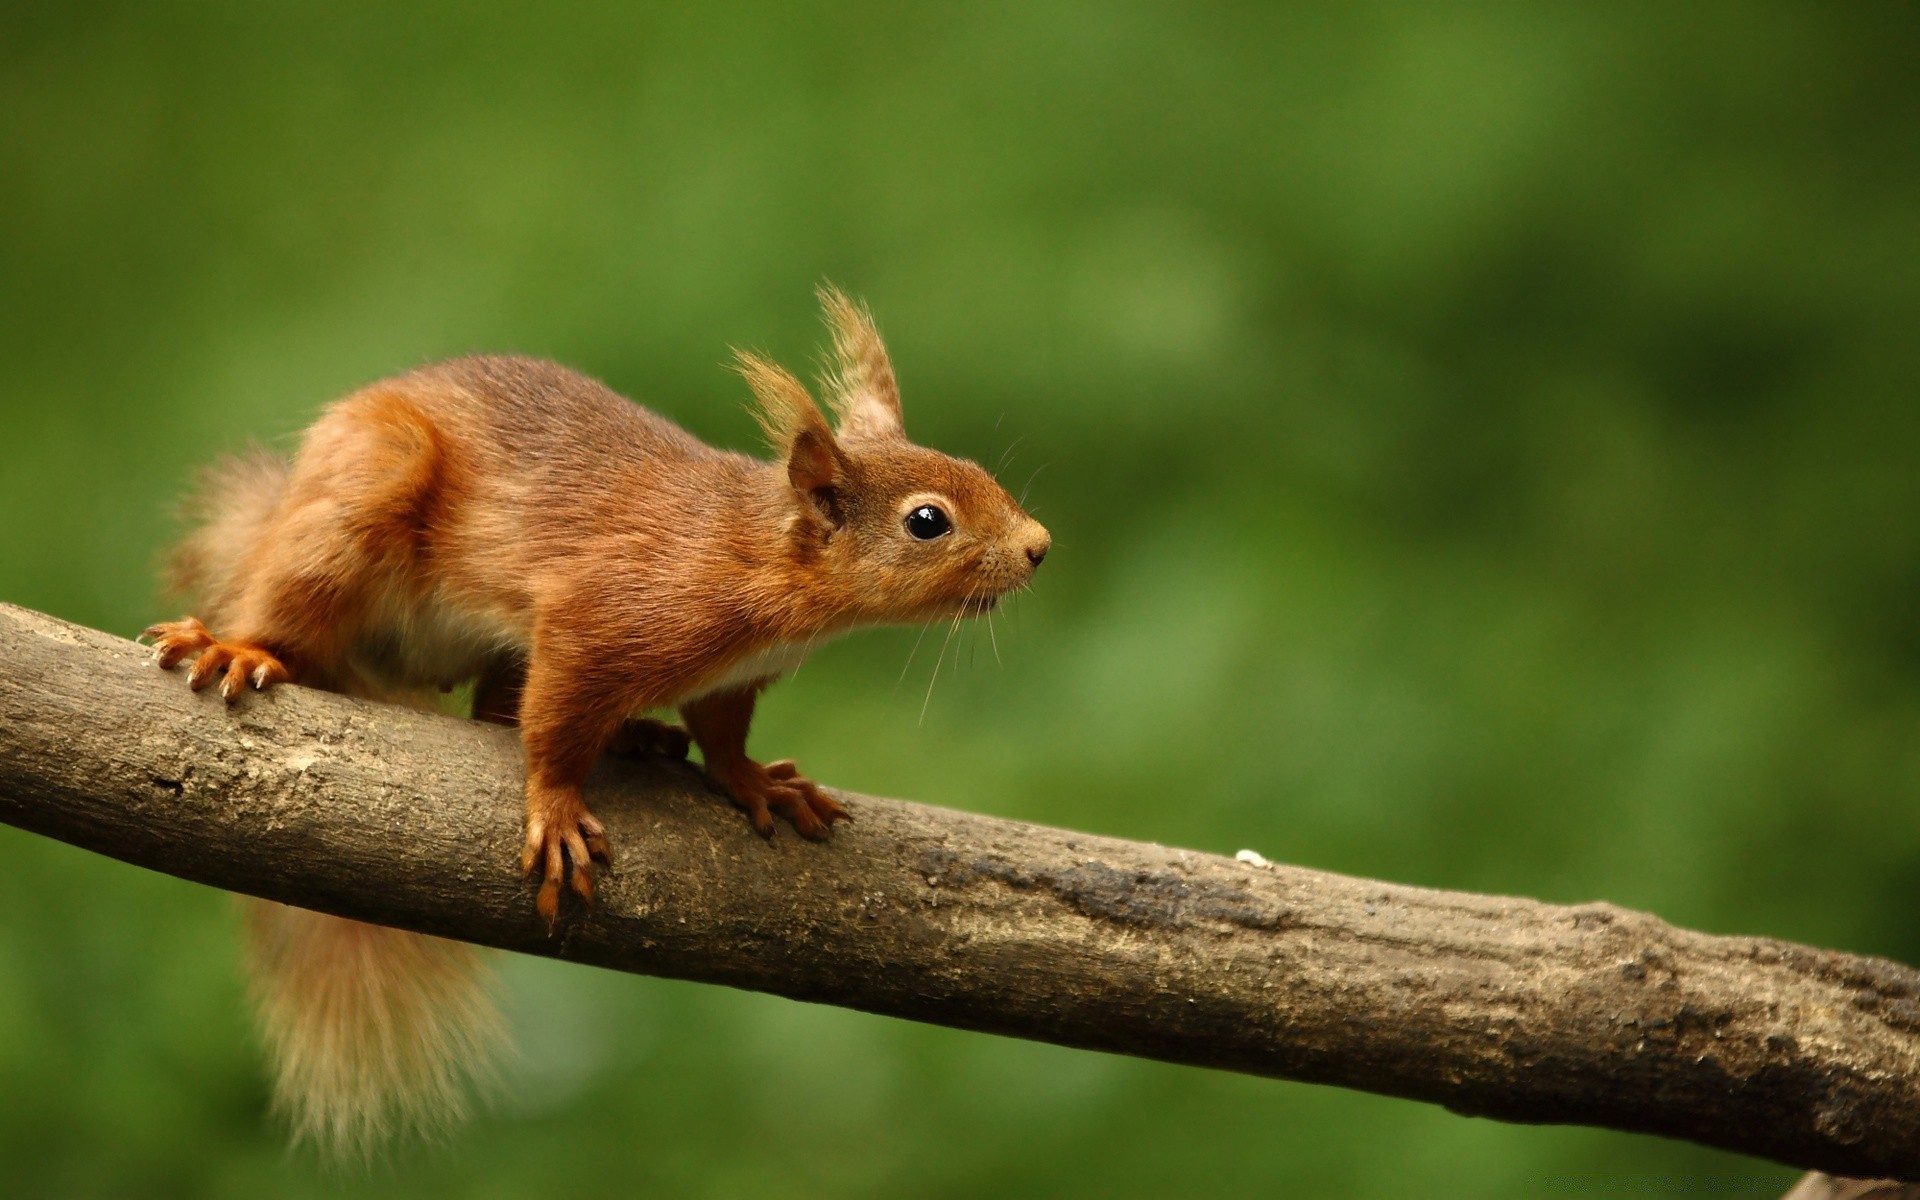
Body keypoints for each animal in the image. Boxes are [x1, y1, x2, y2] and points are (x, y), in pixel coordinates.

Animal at [144, 289, 1052, 1152]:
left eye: (973, 467)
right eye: (928, 521)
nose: (1040, 545)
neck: (759, 559)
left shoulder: (732, 677)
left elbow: (721, 734)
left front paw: (756, 783)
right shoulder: (602, 619)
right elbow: (553, 726)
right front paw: (555, 810)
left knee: (492, 708)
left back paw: (637, 736)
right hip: (362, 496)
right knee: (298, 606)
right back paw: (237, 645)